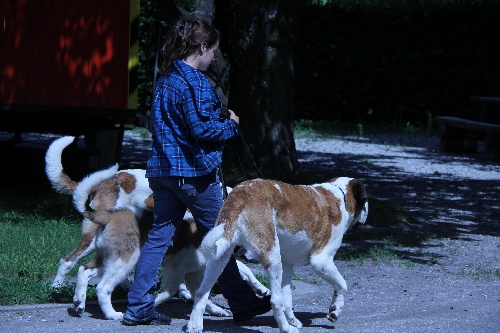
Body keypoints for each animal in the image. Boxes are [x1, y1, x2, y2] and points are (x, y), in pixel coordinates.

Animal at [188, 178, 368, 332]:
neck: (341, 197)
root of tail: (240, 193)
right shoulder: (321, 261)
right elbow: (342, 285)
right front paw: (335, 311)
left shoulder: (288, 265)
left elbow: (287, 298)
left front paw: (293, 319)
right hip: (272, 258)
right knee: (275, 300)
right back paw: (286, 329)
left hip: (221, 258)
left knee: (201, 292)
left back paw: (194, 325)